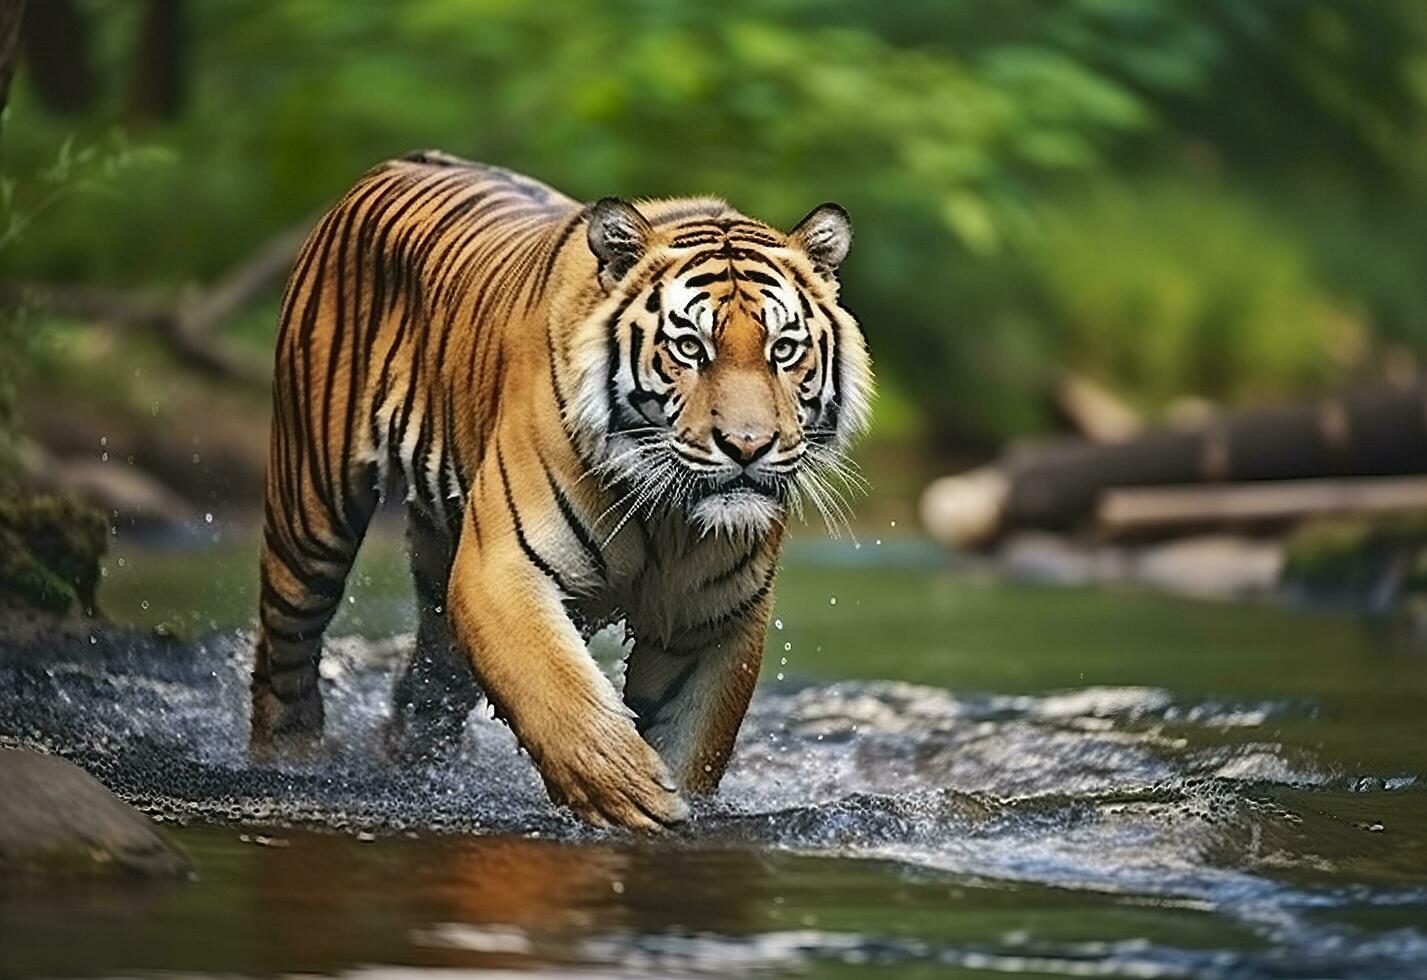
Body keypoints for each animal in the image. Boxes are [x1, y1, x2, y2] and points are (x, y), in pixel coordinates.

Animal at [252, 149, 873, 833]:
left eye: (783, 350)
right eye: (690, 347)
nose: (747, 446)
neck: (668, 517)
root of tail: (401, 159)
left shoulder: (712, 619)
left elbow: (692, 736)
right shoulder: (501, 569)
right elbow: (559, 692)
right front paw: (626, 793)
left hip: (440, 580)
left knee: (425, 689)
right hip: (311, 509)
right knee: (285, 654)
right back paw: (289, 763)